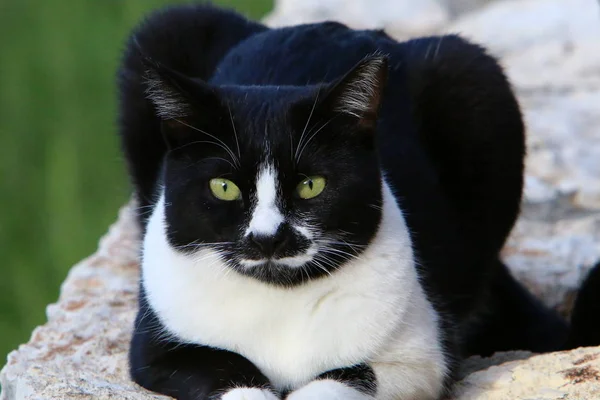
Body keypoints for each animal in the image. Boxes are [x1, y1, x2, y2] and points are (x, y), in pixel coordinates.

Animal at [117, 3, 600, 400]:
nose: (269, 238)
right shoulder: (160, 350)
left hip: (474, 78)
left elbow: (339, 380)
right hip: (168, 26)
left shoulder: (420, 359)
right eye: (224, 188)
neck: (280, 303)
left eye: (311, 185)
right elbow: (231, 376)